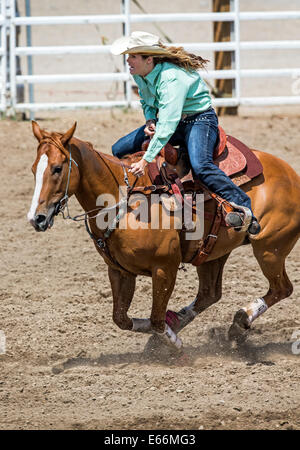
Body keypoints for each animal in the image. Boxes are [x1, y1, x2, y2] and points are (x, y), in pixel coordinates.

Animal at [27, 120, 300, 352]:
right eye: (33, 169)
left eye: (57, 168)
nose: (36, 218)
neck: (125, 201)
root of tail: (291, 175)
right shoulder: (119, 271)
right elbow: (122, 319)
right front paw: (161, 333)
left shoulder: (164, 268)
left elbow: (156, 319)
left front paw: (172, 343)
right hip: (213, 252)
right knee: (209, 294)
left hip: (269, 249)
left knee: (282, 288)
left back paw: (241, 320)